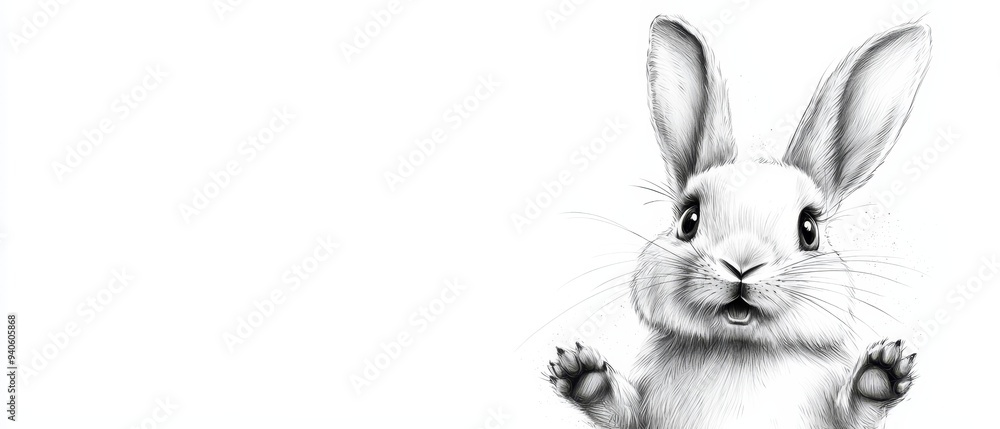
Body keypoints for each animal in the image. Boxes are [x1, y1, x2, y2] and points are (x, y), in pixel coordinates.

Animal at [546, 15, 930, 429]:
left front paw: (883, 369)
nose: (741, 266)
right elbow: (622, 410)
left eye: (809, 230)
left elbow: (854, 410)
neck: (739, 350)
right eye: (689, 220)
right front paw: (580, 370)